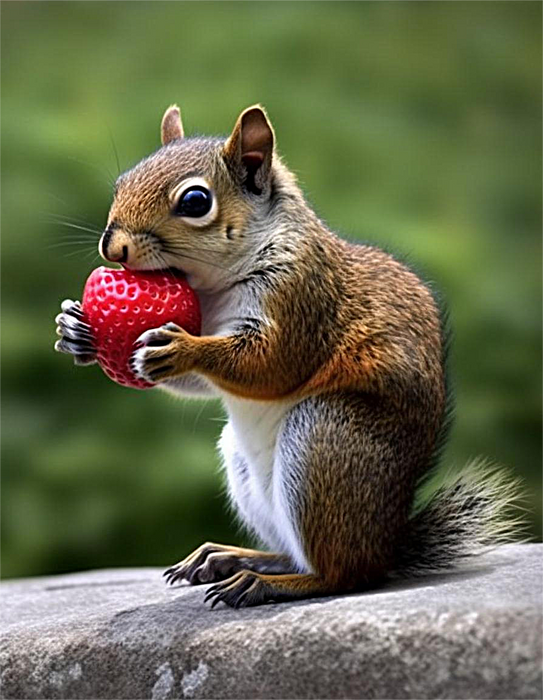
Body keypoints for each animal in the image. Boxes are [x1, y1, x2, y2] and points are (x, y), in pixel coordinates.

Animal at [55, 104, 523, 608]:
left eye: (195, 201)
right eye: (122, 182)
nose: (112, 245)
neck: (215, 286)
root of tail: (385, 545)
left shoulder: (301, 300)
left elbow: (270, 365)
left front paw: (183, 349)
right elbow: (199, 385)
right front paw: (75, 330)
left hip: (324, 441)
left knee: (342, 575)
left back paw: (265, 583)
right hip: (245, 467)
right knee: (295, 555)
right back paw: (231, 558)